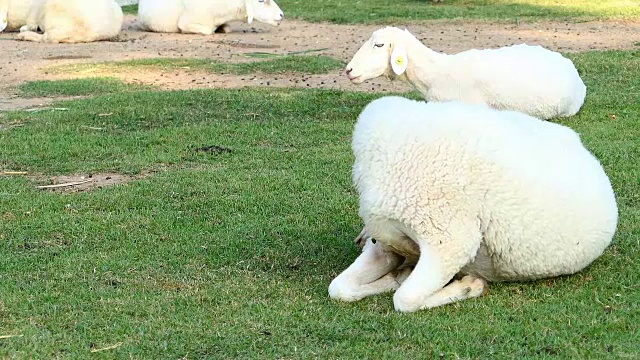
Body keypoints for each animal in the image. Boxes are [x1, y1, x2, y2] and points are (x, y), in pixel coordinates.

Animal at [328, 95, 616, 312]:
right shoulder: (389, 243)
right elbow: (338, 288)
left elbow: (405, 299)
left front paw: (468, 286)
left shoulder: (448, 240)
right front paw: (394, 278)